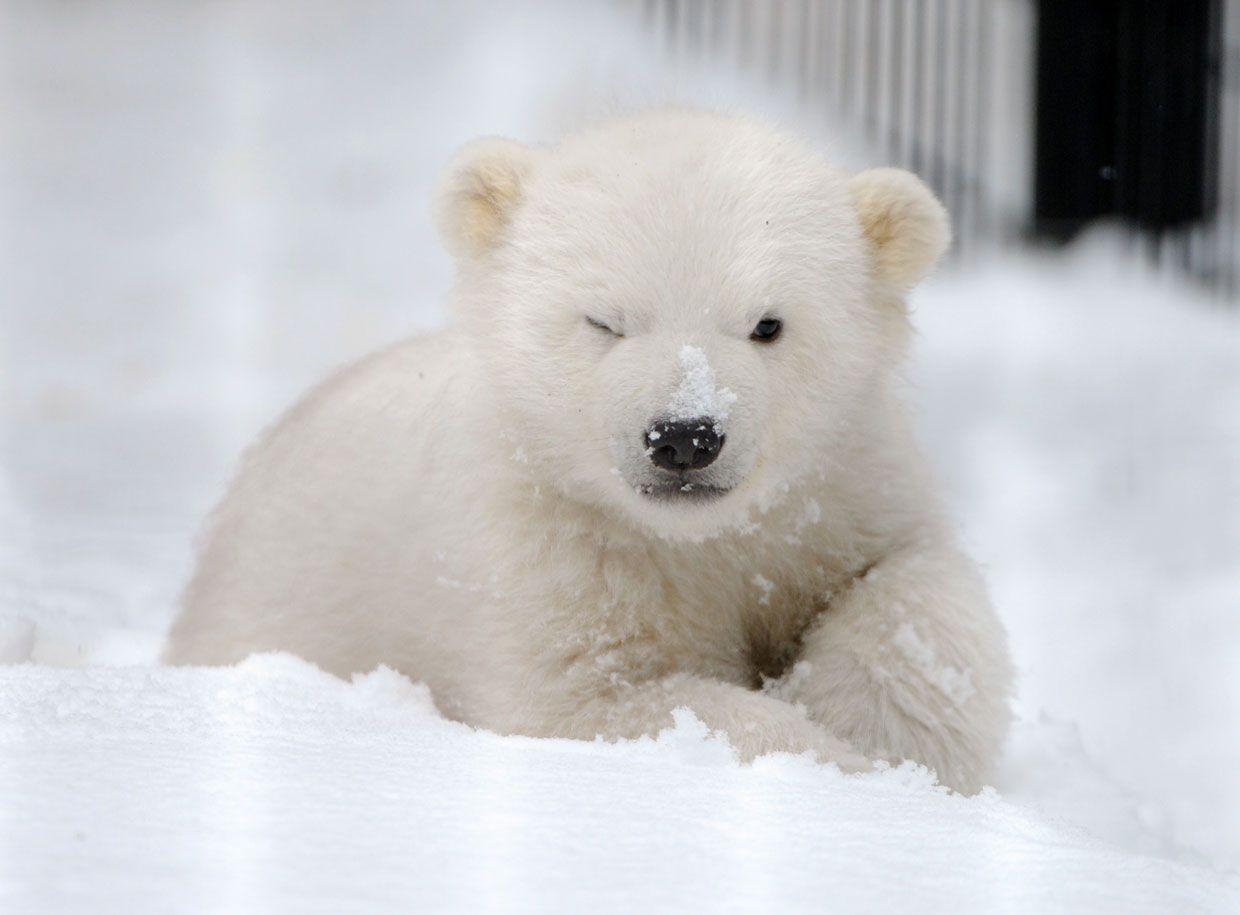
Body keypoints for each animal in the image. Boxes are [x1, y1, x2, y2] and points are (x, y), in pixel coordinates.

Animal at [164, 108, 1012, 793]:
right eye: (604, 320)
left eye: (768, 324)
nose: (684, 437)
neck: (692, 541)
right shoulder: (546, 544)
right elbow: (590, 702)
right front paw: (833, 760)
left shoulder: (841, 486)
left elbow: (913, 585)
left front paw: (871, 734)